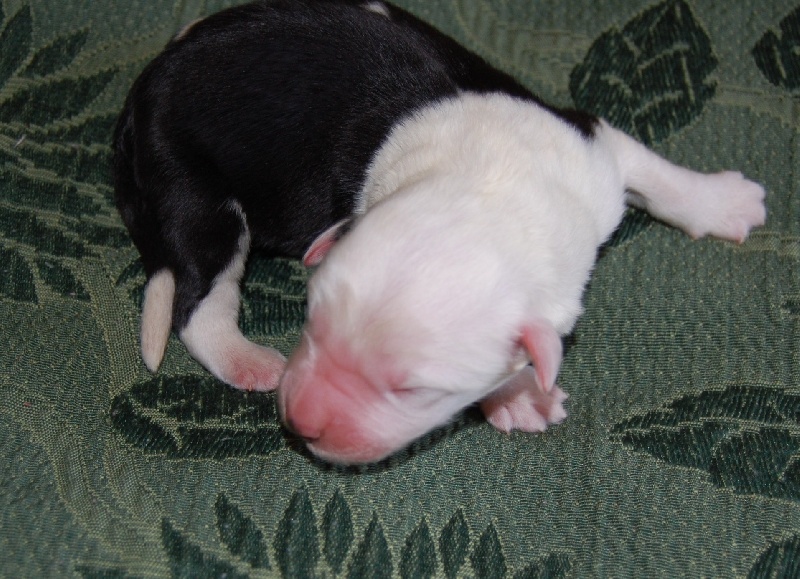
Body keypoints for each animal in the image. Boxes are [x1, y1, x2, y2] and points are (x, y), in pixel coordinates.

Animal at [114, 0, 766, 464]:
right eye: (311, 323)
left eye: (413, 391)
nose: (298, 422)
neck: (491, 188)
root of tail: (138, 95)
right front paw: (520, 397)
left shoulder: (590, 143)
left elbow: (653, 173)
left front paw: (721, 201)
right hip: (197, 194)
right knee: (198, 301)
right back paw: (248, 360)